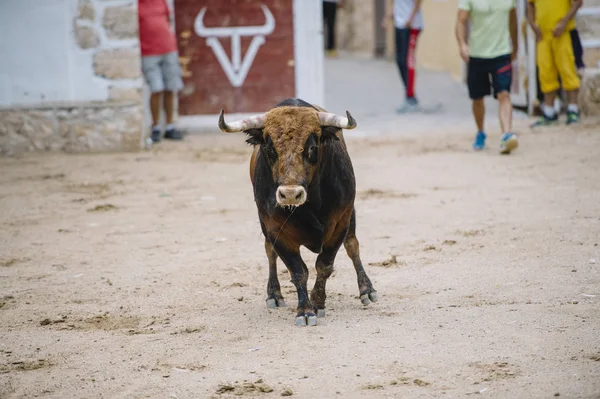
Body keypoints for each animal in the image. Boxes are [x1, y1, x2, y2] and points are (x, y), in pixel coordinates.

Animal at [218, 98, 378, 326]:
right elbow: (298, 270)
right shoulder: (275, 230)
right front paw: (305, 310)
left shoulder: (341, 221)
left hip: (350, 217)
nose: (290, 194)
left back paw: (366, 290)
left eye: (312, 147)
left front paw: (318, 303)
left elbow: (325, 265)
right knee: (269, 252)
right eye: (269, 148)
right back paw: (274, 294)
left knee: (352, 245)